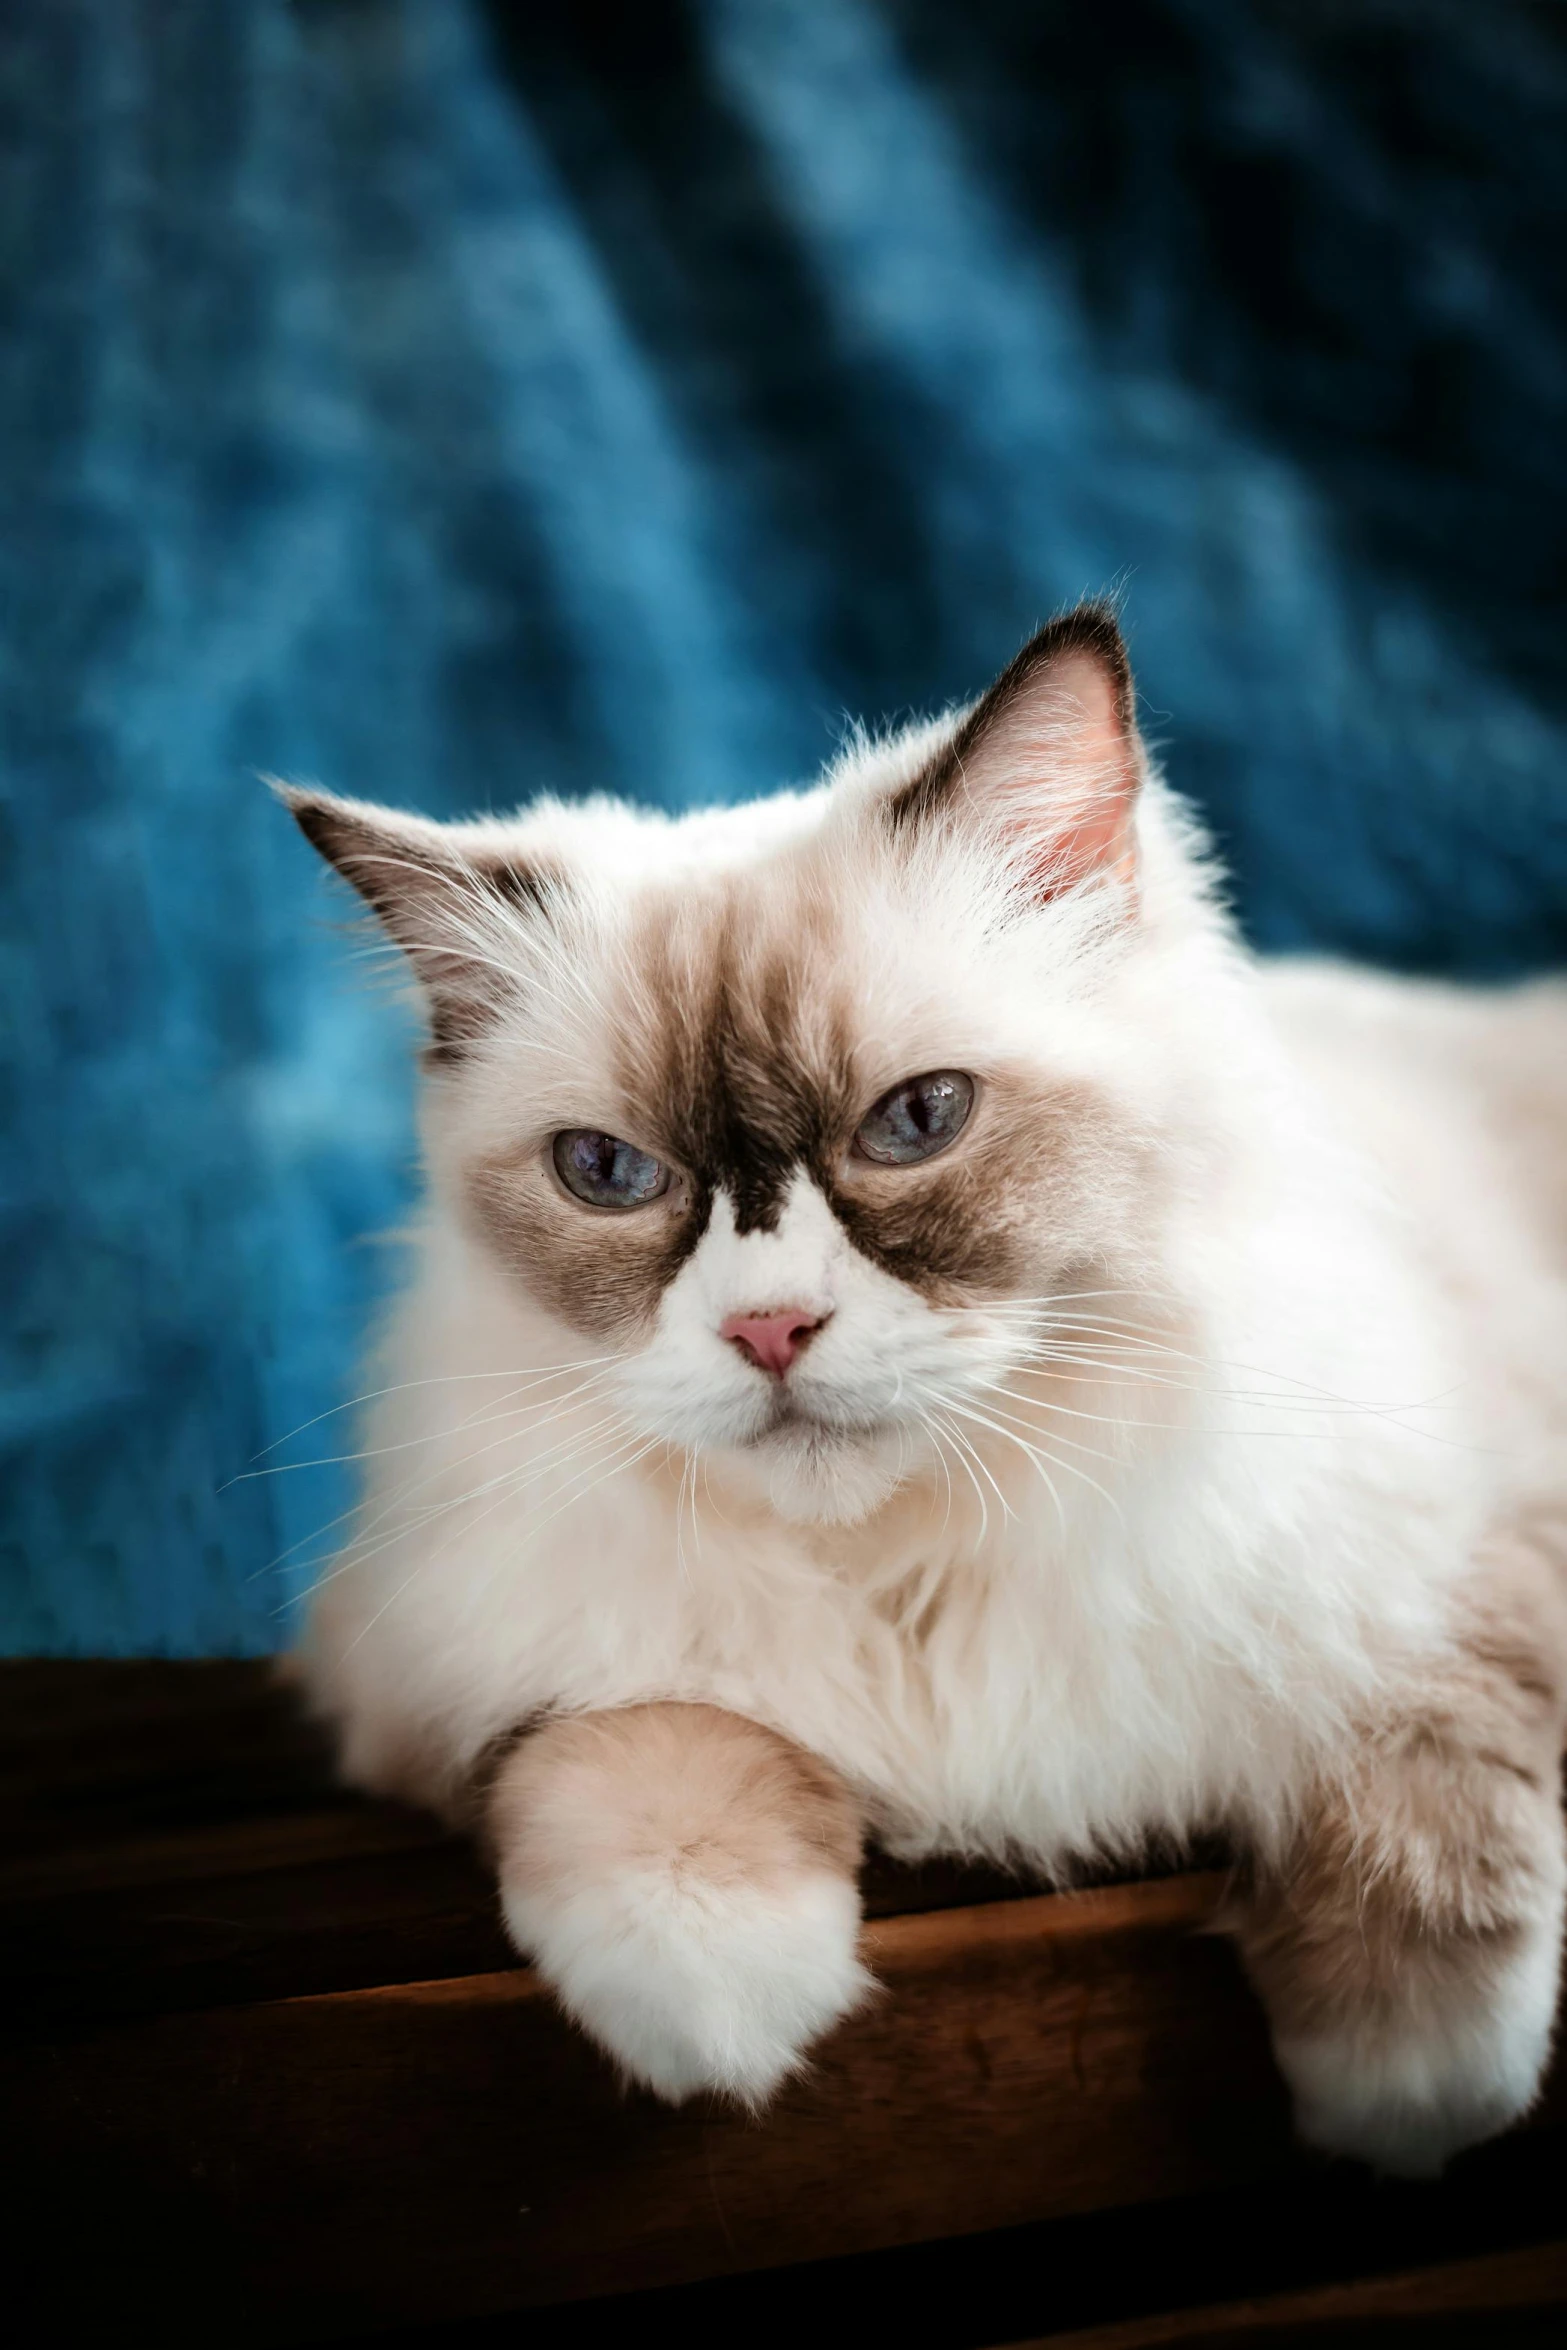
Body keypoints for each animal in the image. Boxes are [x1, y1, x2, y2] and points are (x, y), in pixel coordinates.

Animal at [285, 601, 1567, 2162]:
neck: (909, 1574)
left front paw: (1407, 2091)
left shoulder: (1456, 1528)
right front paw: (710, 1986)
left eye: (916, 1120)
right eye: (607, 1172)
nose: (770, 1327)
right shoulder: (451, 1651)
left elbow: (1433, 1746)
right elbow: (634, 1722)